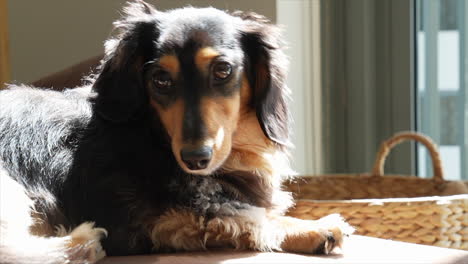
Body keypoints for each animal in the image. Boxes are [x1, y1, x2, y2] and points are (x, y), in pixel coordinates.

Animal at [0, 1, 352, 262]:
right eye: (160, 79)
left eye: (222, 70)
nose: (195, 158)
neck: (151, 132)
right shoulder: (165, 215)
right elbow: (250, 215)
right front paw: (318, 227)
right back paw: (83, 243)